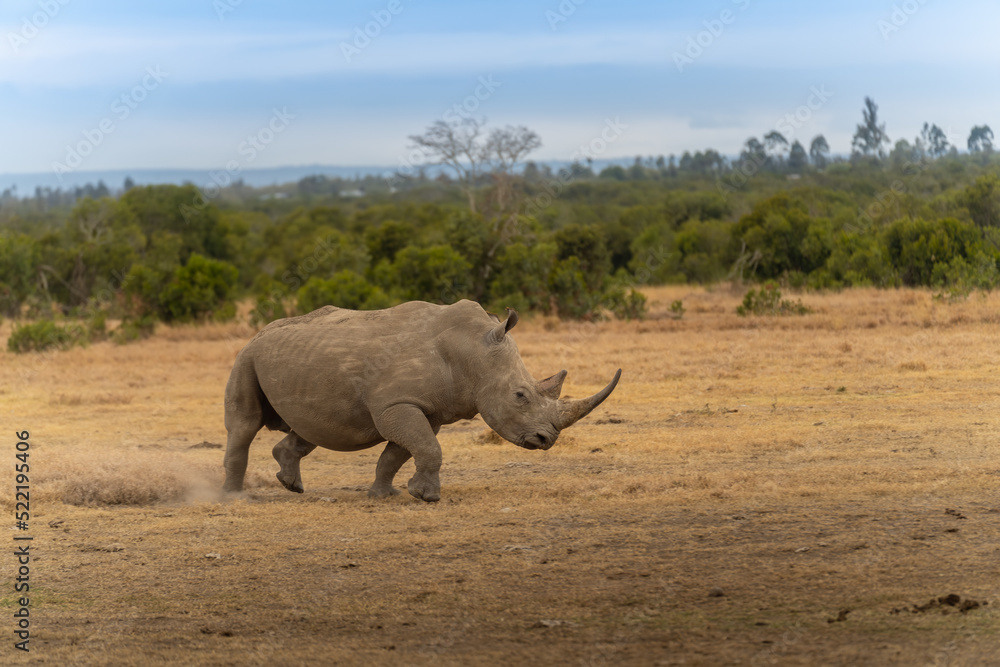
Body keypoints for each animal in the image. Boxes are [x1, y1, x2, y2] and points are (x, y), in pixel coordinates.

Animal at [222, 299, 621, 502]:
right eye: (520, 396)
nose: (546, 440)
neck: (473, 351)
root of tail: (259, 332)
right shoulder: (396, 404)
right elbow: (426, 448)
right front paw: (426, 497)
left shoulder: (424, 411)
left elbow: (401, 452)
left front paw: (385, 495)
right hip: (246, 358)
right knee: (244, 426)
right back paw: (233, 497)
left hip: (296, 362)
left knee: (311, 428)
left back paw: (292, 485)